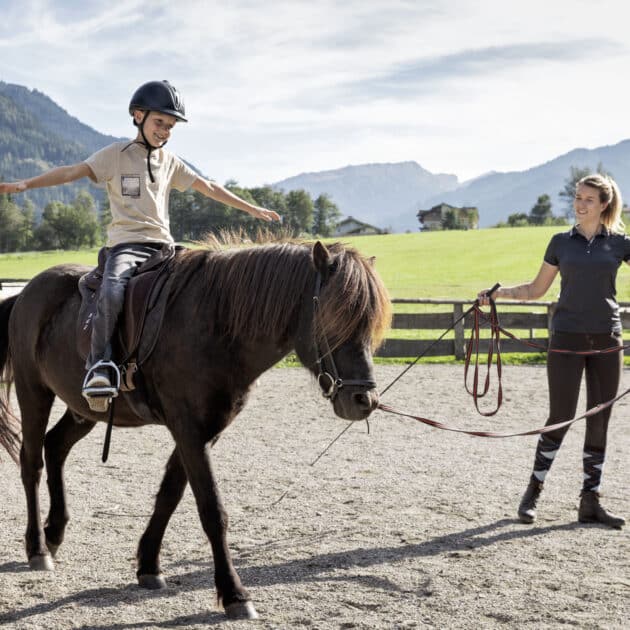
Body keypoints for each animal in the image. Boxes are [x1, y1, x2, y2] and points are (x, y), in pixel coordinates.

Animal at [0, 242, 392, 624]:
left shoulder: (203, 431)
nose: (364, 400)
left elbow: (169, 495)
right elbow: (212, 511)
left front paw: (149, 565)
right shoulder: (188, 428)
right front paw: (234, 594)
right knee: (32, 463)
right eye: (333, 317)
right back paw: (37, 548)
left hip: (83, 410)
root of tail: (26, 292)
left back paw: (53, 532)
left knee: (55, 447)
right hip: (33, 390)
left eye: (369, 324)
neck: (215, 325)